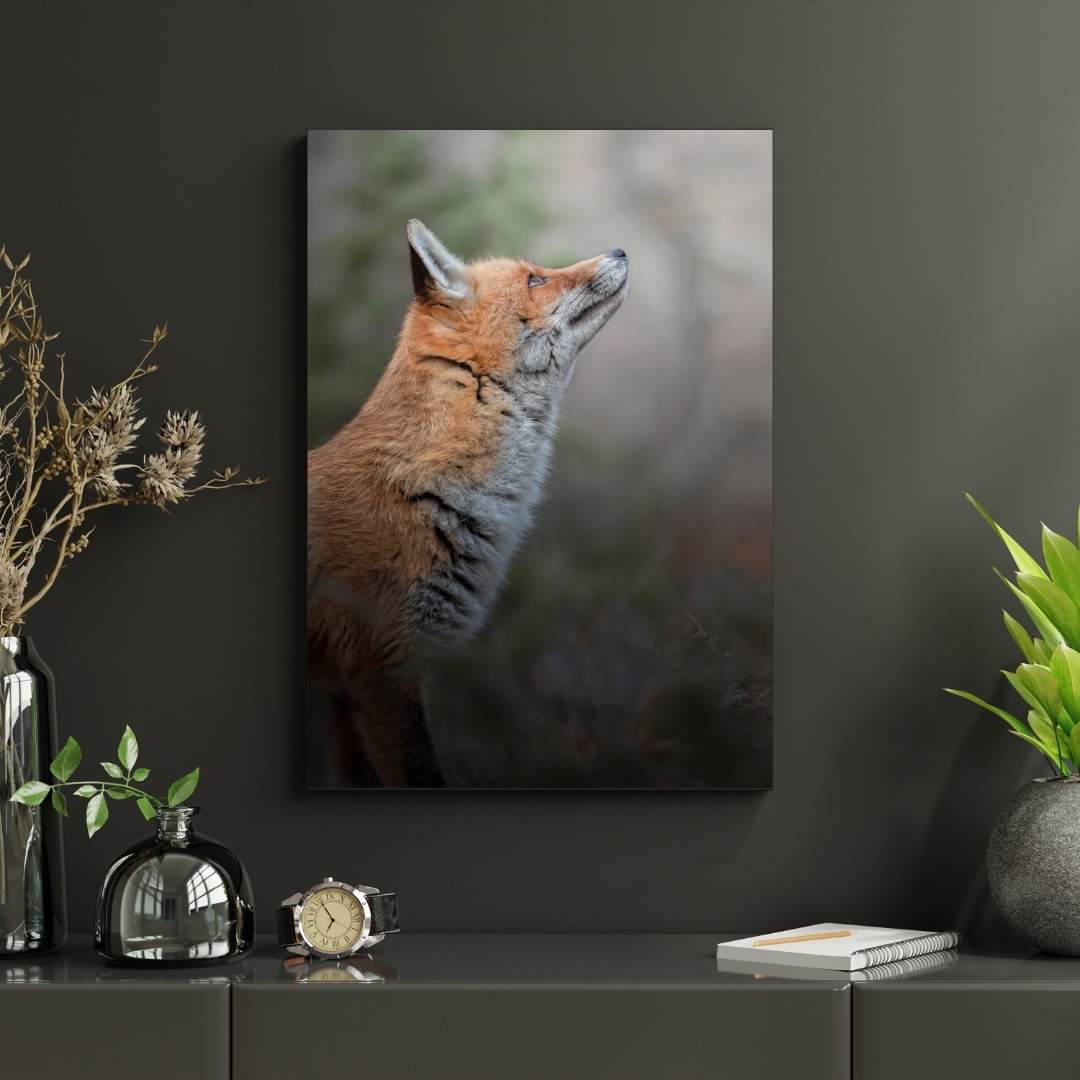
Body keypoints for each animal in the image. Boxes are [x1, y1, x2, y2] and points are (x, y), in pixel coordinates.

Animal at [308, 219, 629, 787]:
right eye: (535, 280)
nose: (620, 249)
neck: (421, 490)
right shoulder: (383, 667)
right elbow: (422, 773)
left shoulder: (347, 696)